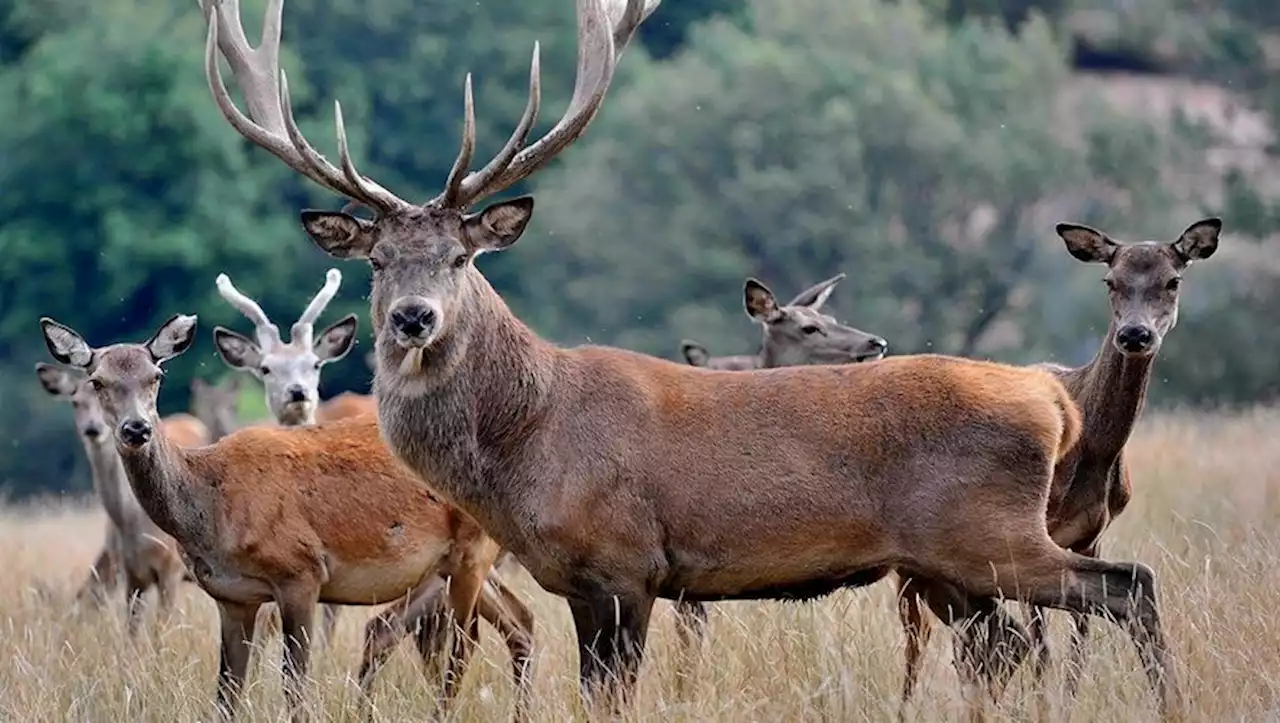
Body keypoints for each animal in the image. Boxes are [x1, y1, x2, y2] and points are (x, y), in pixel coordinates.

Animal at [202, 0, 1177, 716]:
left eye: (460, 257)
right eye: (377, 260)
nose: (411, 318)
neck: (527, 442)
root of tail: (1053, 402)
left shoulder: (626, 562)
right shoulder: (577, 581)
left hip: (989, 534)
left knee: (1127, 585)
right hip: (955, 564)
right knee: (1015, 644)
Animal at [896, 216, 1223, 716]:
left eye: (1173, 280)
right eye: (1110, 281)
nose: (1135, 334)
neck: (1091, 454)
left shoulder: (1093, 534)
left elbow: (1080, 638)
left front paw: (1066, 700)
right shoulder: (1035, 528)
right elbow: (1042, 639)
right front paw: (1042, 703)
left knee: (970, 637)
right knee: (924, 638)